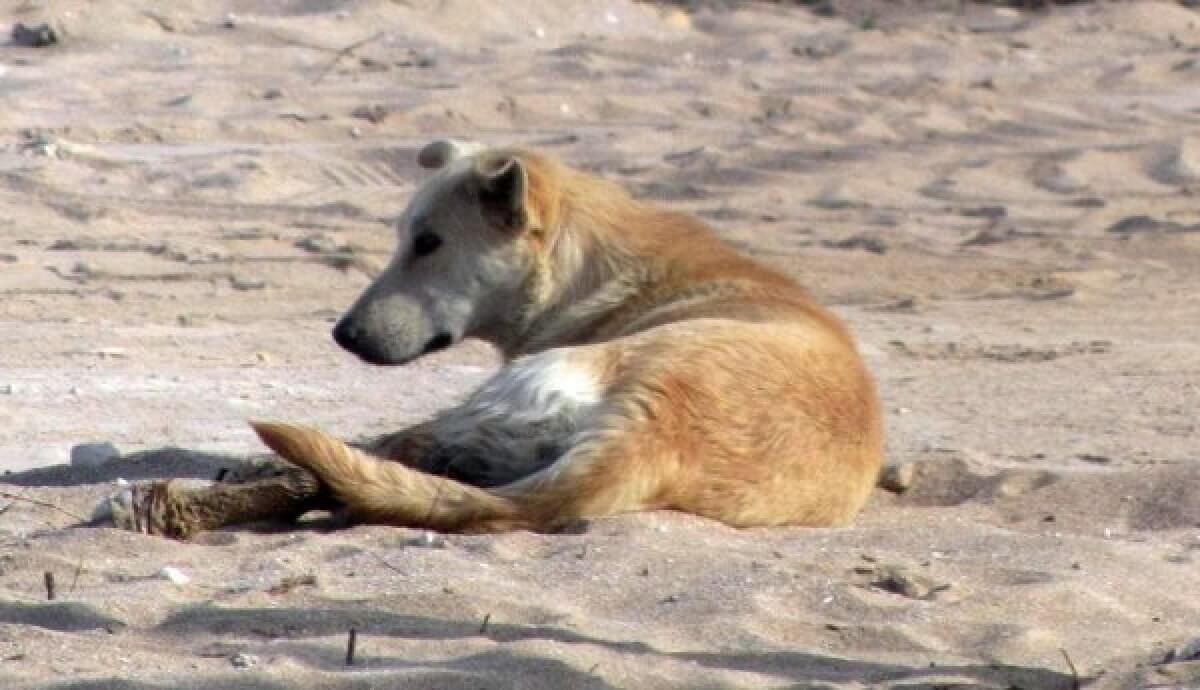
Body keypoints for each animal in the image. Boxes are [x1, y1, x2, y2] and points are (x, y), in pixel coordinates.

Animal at [105, 140, 883, 540]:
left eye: (427, 243)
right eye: (404, 237)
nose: (343, 335)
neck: (595, 268)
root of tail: (654, 435)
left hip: (503, 398)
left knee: (350, 462)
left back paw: (179, 499)